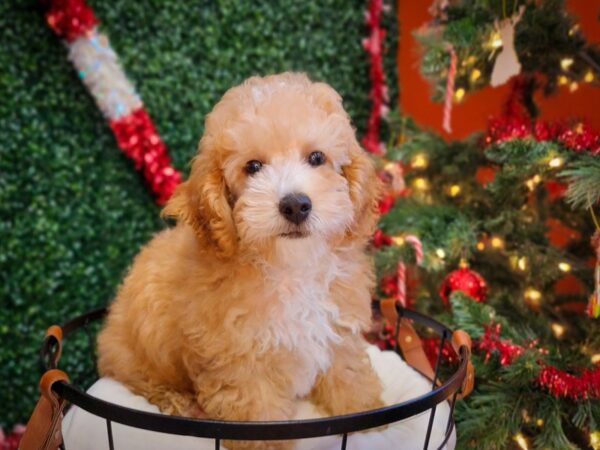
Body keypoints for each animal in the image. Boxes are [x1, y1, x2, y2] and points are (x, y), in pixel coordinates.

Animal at [96, 72, 382, 448]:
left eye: (317, 157)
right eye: (253, 167)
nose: (295, 205)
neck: (290, 267)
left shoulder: (337, 331)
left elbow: (350, 375)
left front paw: (371, 420)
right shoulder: (241, 362)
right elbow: (258, 414)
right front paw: (268, 446)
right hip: (136, 356)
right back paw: (180, 402)